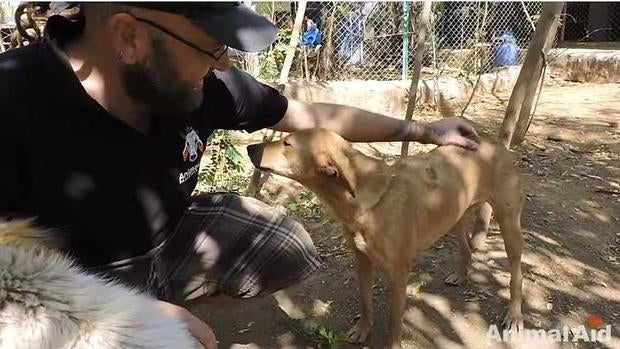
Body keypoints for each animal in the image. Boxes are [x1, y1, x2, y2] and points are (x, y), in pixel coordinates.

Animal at [247, 128, 524, 348]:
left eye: (287, 143)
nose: (250, 147)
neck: (358, 201)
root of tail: (493, 140)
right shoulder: (362, 260)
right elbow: (365, 301)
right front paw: (362, 331)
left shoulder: (399, 273)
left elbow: (394, 320)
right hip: (453, 214)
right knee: (466, 246)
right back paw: (461, 274)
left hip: (509, 225)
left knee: (516, 274)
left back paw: (514, 315)